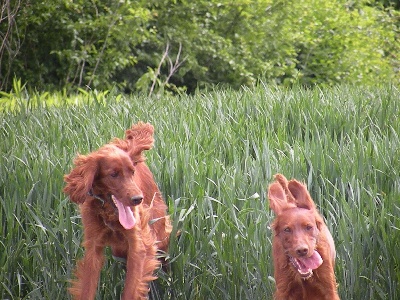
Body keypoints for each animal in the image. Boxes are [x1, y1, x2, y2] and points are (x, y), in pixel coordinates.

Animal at [64, 122, 172, 300]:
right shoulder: (93, 247)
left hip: (159, 233)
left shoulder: (138, 246)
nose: (138, 199)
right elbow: (87, 286)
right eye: (113, 174)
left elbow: (131, 288)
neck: (110, 212)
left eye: (132, 172)